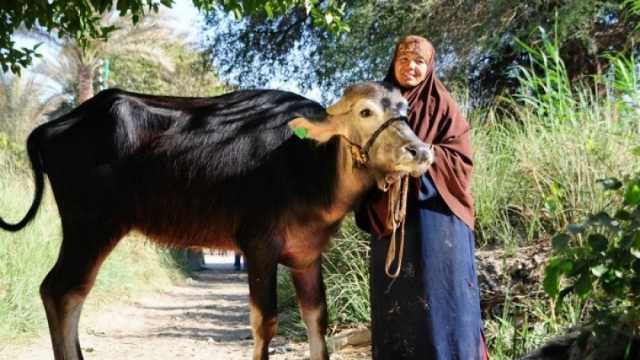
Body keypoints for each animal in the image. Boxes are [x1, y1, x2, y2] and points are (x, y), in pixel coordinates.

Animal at [0, 80, 432, 358]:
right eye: (365, 111)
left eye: (406, 112)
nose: (419, 151)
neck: (307, 164)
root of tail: (49, 128)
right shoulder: (258, 247)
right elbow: (264, 324)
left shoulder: (307, 256)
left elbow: (317, 322)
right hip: (91, 227)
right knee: (61, 291)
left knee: (67, 293)